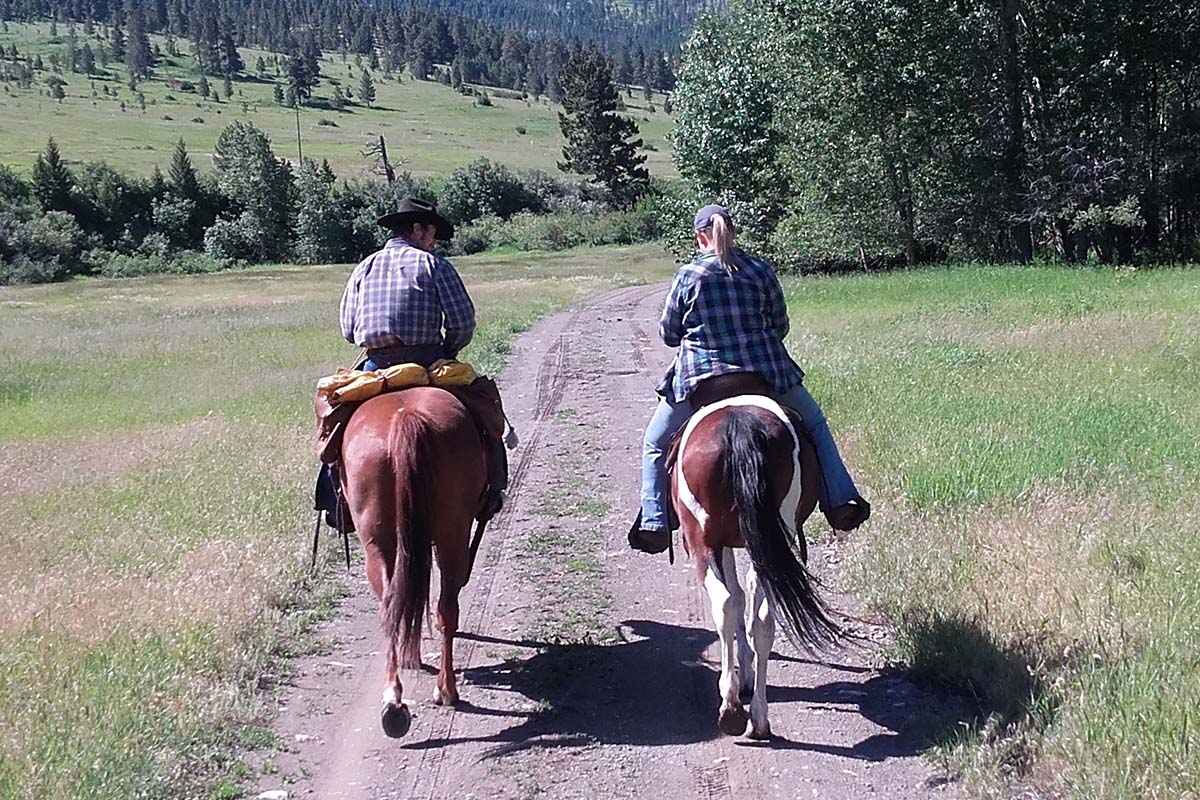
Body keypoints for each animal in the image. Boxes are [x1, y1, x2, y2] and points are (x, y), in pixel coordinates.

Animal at [338, 386, 487, 738]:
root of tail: (406, 417)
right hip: (450, 535)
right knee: (442, 608)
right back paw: (443, 690)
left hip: (381, 543)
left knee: (394, 607)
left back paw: (395, 702)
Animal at [672, 388, 840, 738]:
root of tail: (739, 425)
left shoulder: (719, 544)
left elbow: (735, 598)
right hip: (775, 536)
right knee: (763, 618)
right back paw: (759, 719)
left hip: (702, 539)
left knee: (724, 604)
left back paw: (732, 708)